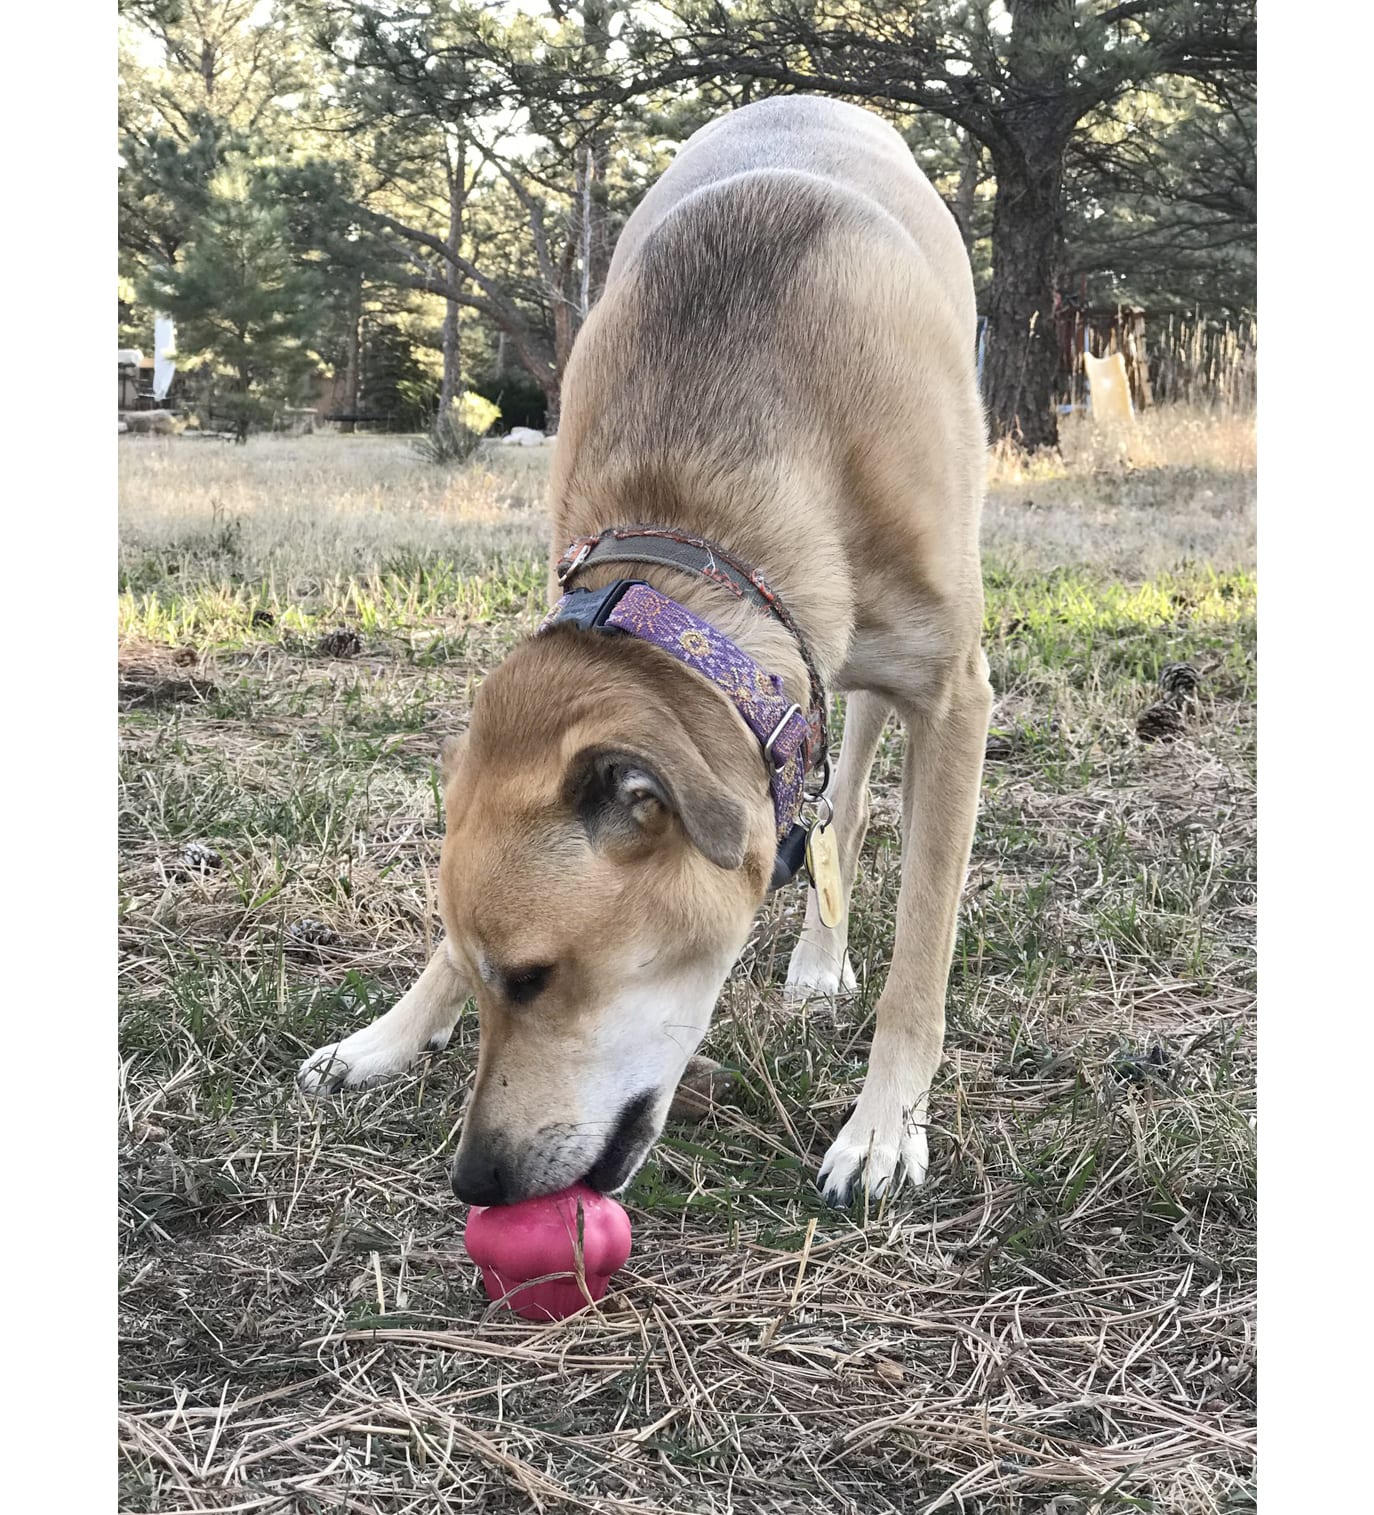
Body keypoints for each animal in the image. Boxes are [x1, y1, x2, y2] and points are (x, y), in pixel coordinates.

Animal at [298, 94, 987, 1205]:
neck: (708, 527)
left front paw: (886, 1126)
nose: (475, 1183)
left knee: (856, 780)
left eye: (536, 978)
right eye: (489, 977)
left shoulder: (958, 695)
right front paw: (393, 1034)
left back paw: (823, 958)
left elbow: (922, 952)